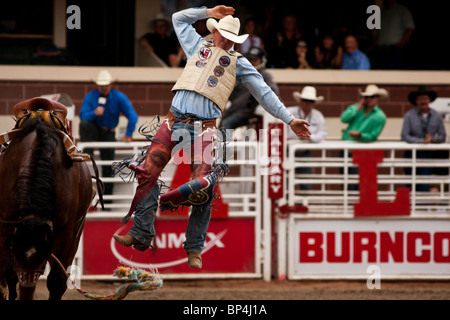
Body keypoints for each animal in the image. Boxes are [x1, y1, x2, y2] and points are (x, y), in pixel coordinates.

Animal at [0, 106, 92, 298]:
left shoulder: (65, 234)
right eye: (17, 251)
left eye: (42, 257)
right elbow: (9, 275)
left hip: (76, 235)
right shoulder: (5, 228)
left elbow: (56, 281)